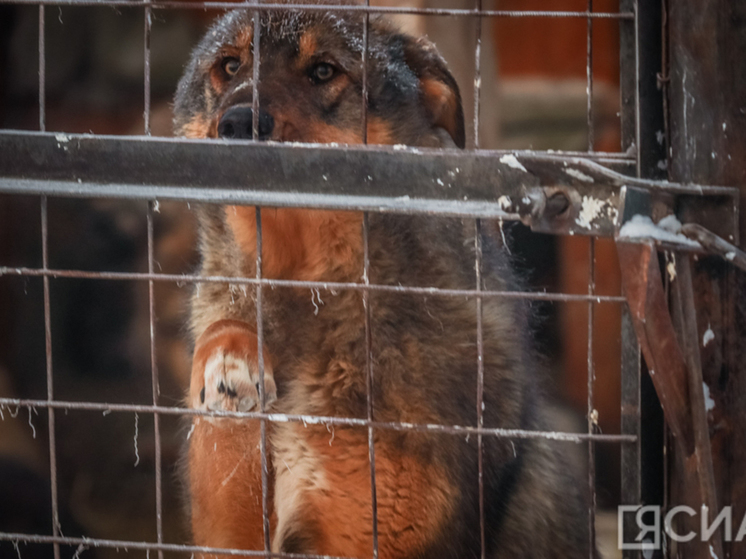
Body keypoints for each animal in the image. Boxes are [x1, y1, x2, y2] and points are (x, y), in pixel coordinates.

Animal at [173, 5, 592, 559]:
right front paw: (228, 360)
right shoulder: (228, 533)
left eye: (324, 71)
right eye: (229, 65)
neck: (306, 289)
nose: (237, 123)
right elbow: (228, 328)